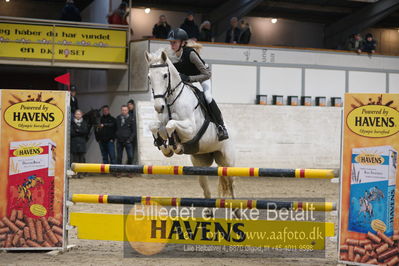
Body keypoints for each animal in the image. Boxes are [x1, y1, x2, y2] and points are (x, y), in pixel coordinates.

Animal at [145, 50, 236, 204]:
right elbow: (155, 126)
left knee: (232, 185)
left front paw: (175, 145)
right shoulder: (161, 123)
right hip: (200, 163)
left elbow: (171, 125)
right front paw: (165, 147)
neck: (170, 101)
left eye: (165, 75)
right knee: (207, 190)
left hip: (228, 162)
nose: (158, 107)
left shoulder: (191, 129)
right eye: (149, 77)